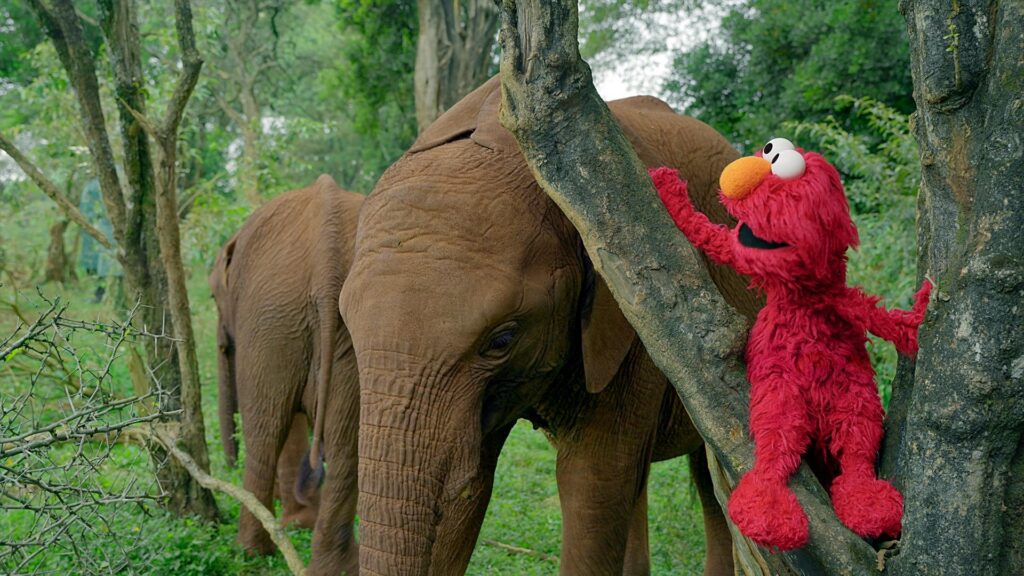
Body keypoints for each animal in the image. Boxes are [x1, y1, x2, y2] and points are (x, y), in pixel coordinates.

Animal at [209, 174, 363, 575]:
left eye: (214, 299)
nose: (226, 465)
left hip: (271, 317)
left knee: (264, 430)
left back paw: (251, 552)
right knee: (347, 447)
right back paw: (336, 566)